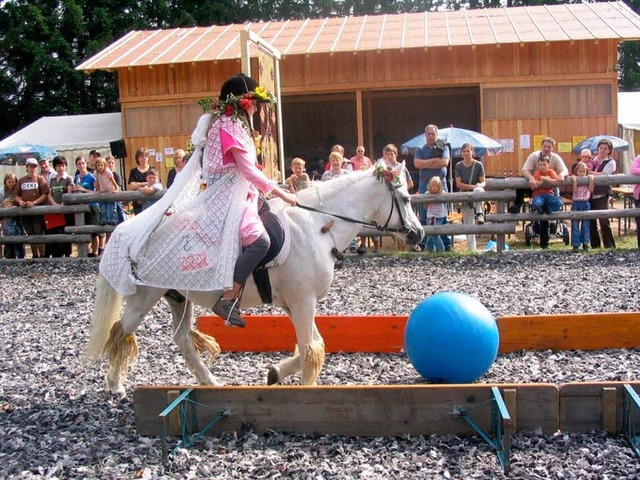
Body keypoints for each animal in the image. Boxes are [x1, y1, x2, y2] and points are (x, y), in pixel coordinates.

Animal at [86, 163, 424, 396]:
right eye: (406, 198)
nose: (418, 234)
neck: (317, 225)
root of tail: (132, 228)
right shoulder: (303, 302)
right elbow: (312, 348)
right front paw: (305, 388)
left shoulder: (296, 304)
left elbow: (312, 345)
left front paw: (275, 373)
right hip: (144, 297)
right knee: (121, 332)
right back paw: (115, 385)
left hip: (180, 299)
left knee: (181, 339)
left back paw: (210, 382)